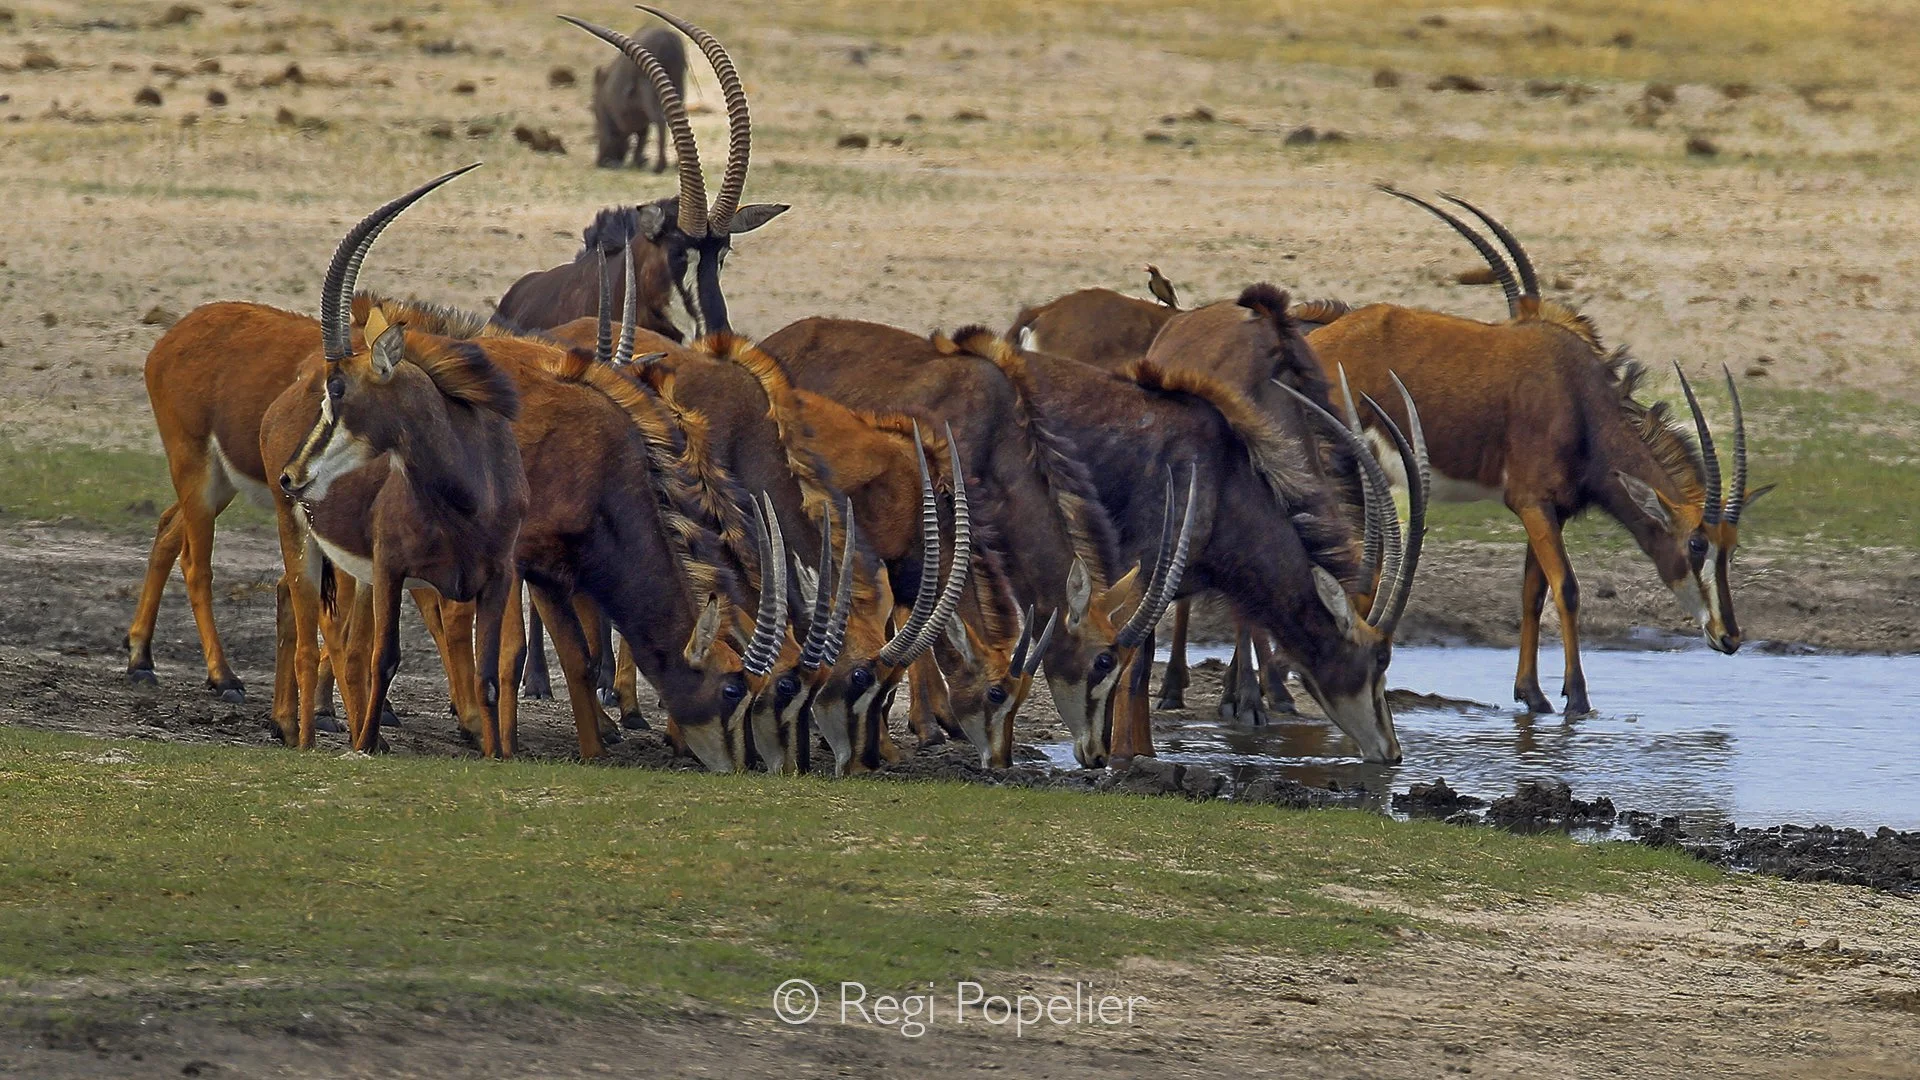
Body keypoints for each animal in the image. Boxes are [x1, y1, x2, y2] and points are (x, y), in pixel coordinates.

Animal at [945, 327, 1429, 765]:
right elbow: (1133, 665)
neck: (1219, 475)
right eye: (1380, 658)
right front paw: (1129, 756)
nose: (1392, 752)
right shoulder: (1140, 571)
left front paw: (1140, 751)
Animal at [1308, 188, 1769, 716]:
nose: (1729, 636)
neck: (1579, 401)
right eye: (1696, 543)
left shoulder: (1552, 510)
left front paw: (1532, 693)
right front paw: (1578, 699)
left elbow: (1533, 592)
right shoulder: (1530, 503)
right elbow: (1566, 588)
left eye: (1731, 547)